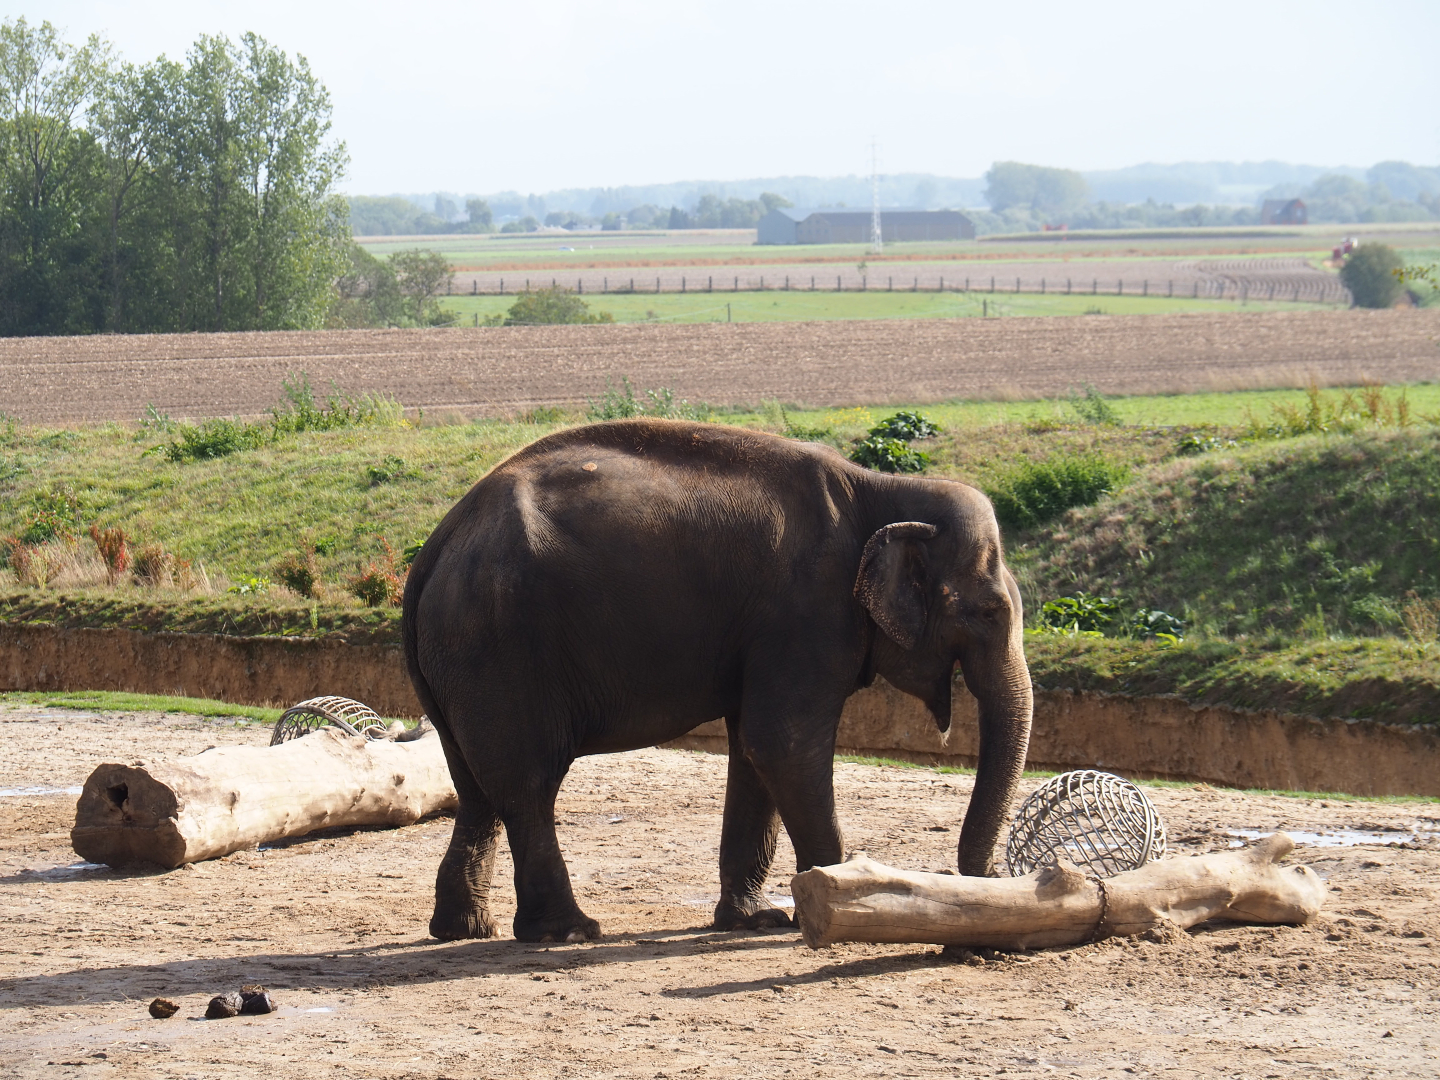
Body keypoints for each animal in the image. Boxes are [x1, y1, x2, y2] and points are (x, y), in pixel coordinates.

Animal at [403, 417, 1033, 943]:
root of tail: (433, 548)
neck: (883, 488)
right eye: (988, 613)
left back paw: (465, 930)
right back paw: (570, 933)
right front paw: (830, 903)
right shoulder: (806, 611)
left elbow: (754, 749)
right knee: (528, 784)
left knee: (477, 787)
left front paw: (757, 921)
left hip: (461, 664)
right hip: (498, 649)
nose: (984, 877)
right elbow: (783, 743)